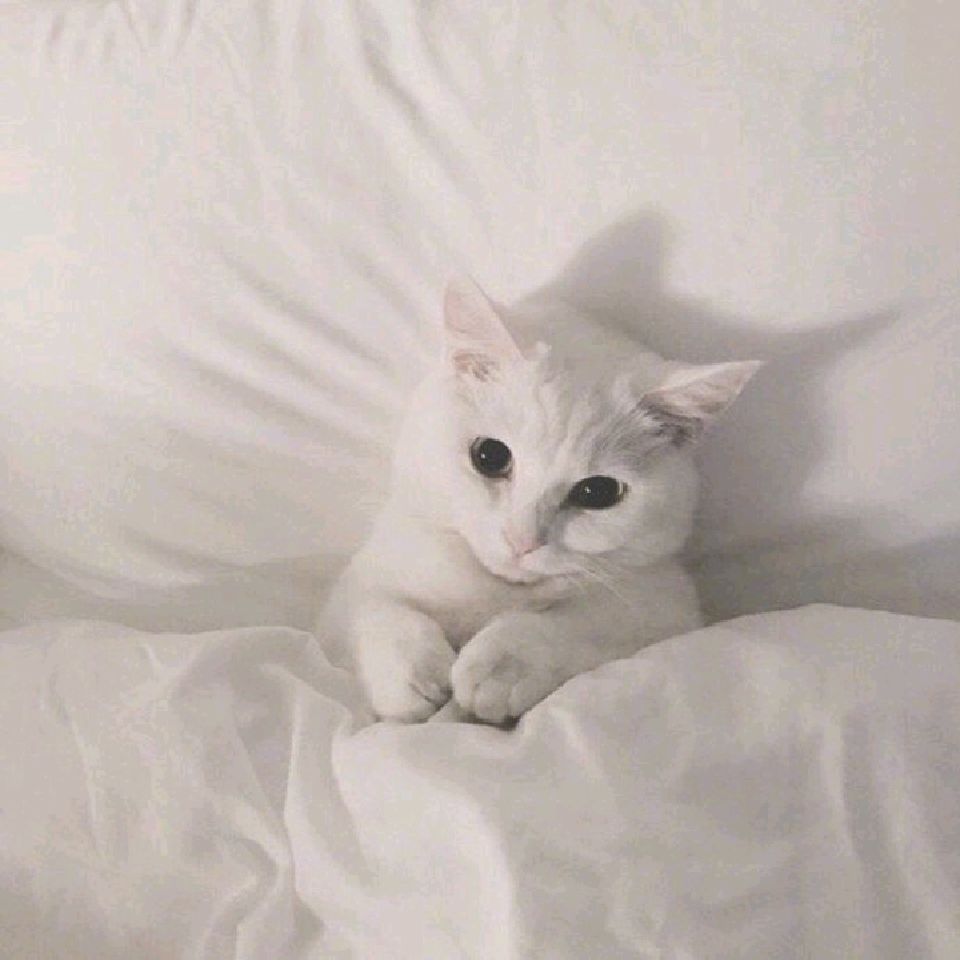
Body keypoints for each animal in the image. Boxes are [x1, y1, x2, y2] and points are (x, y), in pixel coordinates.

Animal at [319, 278, 760, 724]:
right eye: (489, 456)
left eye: (597, 492)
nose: (522, 540)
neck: (498, 590)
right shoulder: (357, 586)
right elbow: (378, 611)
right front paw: (411, 674)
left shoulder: (666, 608)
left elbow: (570, 623)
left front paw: (500, 665)